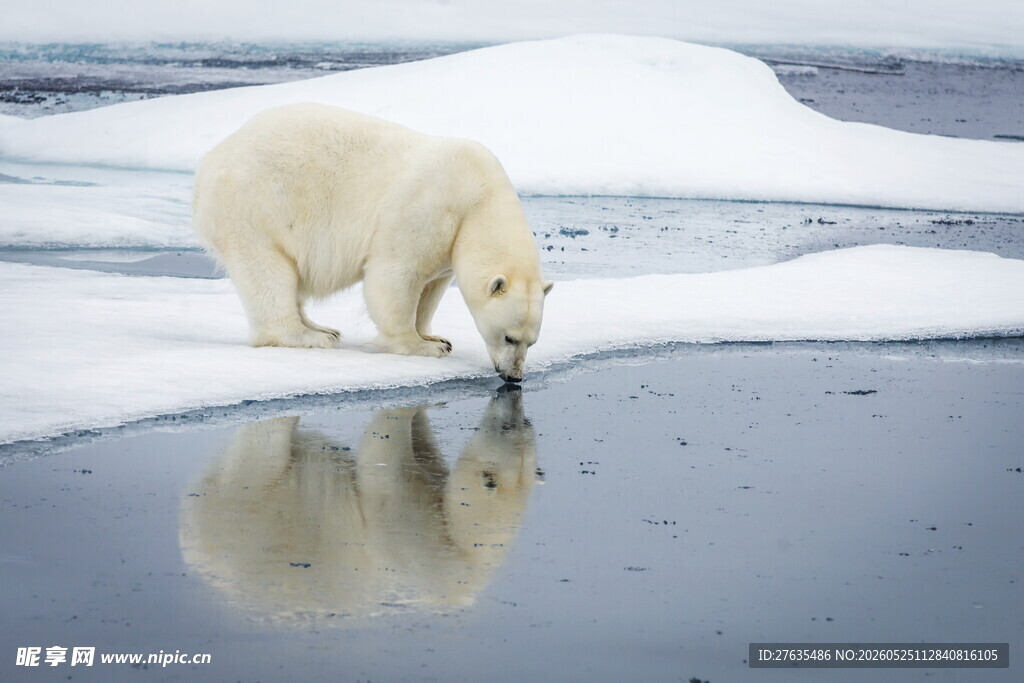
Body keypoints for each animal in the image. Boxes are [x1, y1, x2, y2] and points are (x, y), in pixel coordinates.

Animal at [192, 103, 552, 383]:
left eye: (532, 342)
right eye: (509, 337)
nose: (514, 377)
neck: (478, 198)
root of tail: (209, 162)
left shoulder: (450, 242)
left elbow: (431, 287)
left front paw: (433, 335)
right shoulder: (425, 209)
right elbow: (395, 276)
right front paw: (423, 347)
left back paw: (323, 328)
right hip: (257, 207)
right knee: (268, 272)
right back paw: (309, 336)